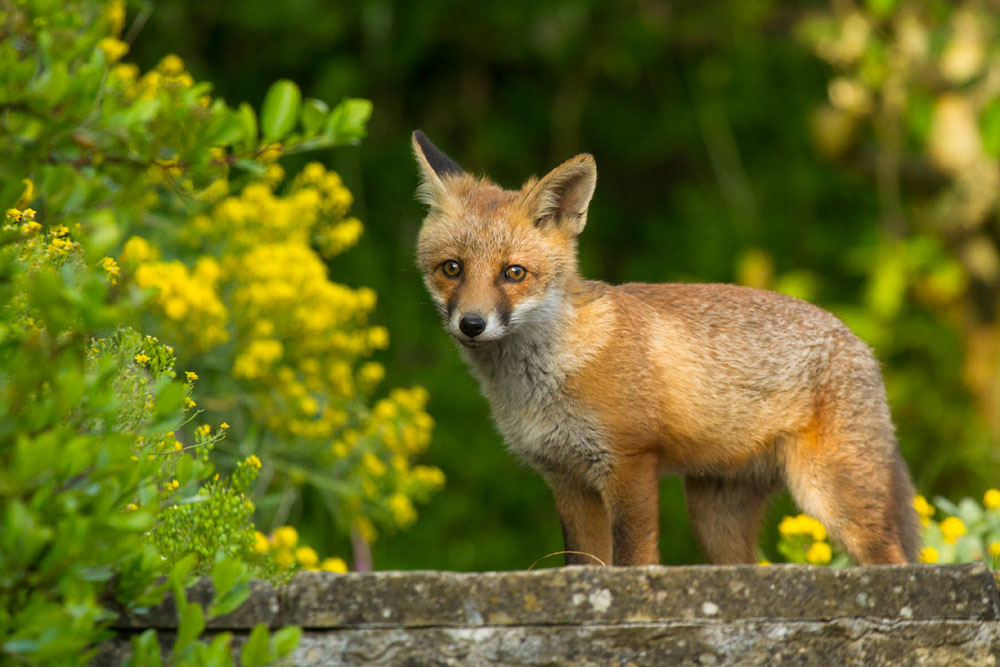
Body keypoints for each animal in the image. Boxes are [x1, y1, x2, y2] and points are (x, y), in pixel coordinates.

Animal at [411, 130, 920, 566]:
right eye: (452, 268)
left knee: (894, 560)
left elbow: (632, 560)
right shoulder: (566, 479)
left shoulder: (630, 462)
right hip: (714, 517)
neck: (545, 381)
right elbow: (583, 565)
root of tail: (858, 340)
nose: (472, 324)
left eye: (514, 273)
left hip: (832, 495)